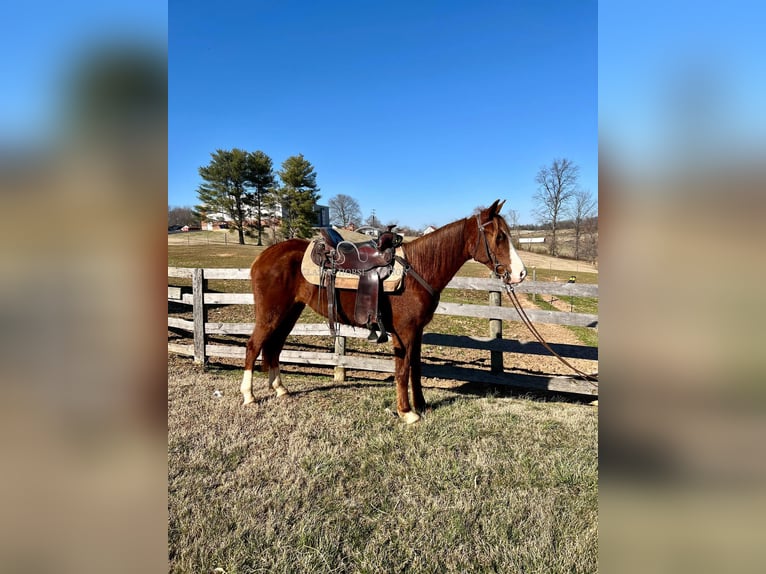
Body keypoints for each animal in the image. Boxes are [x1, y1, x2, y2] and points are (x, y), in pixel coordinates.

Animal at [240, 200, 528, 426]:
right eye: (500, 237)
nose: (521, 273)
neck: (418, 270)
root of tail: (264, 255)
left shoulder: (417, 331)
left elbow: (415, 368)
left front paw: (421, 405)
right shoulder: (404, 332)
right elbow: (402, 370)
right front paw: (406, 412)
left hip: (290, 312)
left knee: (274, 347)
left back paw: (280, 389)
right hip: (271, 313)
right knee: (254, 345)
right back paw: (249, 396)